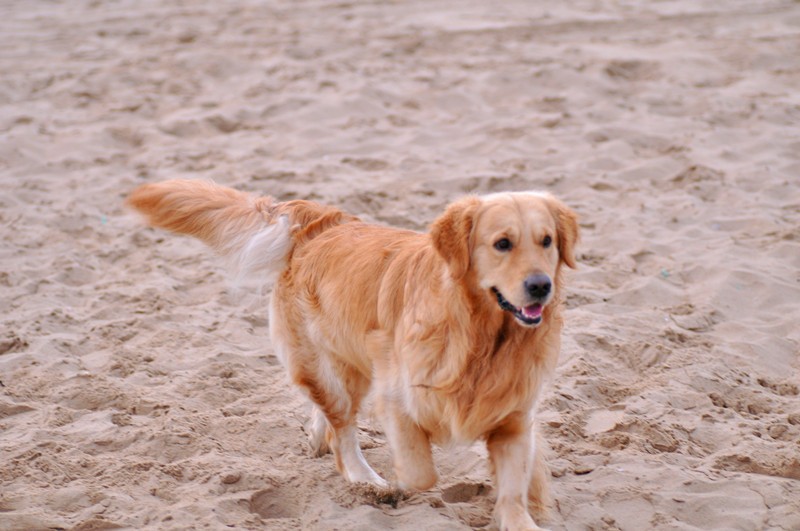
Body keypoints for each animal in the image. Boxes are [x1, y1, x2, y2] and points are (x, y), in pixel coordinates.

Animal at [125, 181, 580, 528]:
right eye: (503, 243)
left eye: (547, 241)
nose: (540, 286)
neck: (483, 338)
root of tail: (321, 222)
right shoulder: (399, 399)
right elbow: (421, 474)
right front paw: (395, 489)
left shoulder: (514, 419)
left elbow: (514, 491)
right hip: (334, 367)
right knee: (342, 430)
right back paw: (365, 479)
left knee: (328, 412)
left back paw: (316, 434)